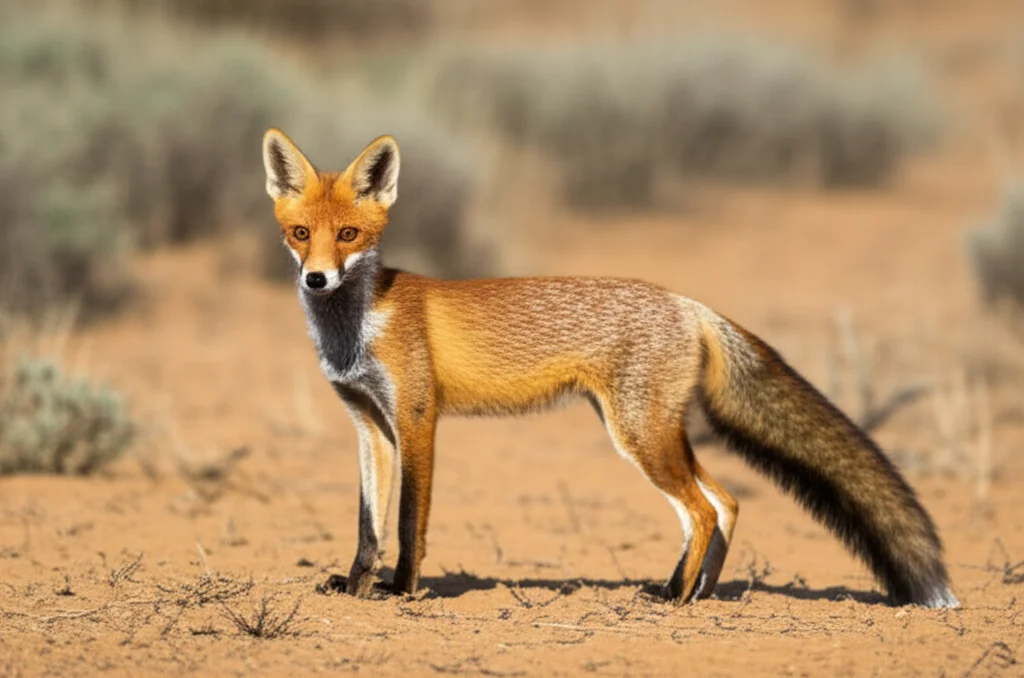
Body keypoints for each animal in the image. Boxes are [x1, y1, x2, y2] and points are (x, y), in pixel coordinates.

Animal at [260, 127, 959, 608]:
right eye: (301, 234)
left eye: (349, 235)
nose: (317, 279)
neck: (358, 327)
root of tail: (687, 302)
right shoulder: (369, 424)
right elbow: (368, 522)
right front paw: (355, 584)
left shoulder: (417, 418)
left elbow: (408, 521)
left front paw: (402, 590)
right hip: (650, 431)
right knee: (726, 500)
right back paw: (696, 593)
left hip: (638, 435)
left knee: (703, 510)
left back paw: (672, 597)